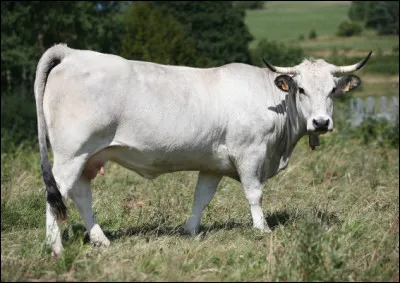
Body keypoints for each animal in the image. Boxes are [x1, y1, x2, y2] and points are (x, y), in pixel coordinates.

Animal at [35, 44, 372, 258]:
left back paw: (100, 239)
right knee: (57, 194)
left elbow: (201, 197)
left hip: (88, 157)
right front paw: (262, 229)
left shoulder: (213, 164)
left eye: (333, 90)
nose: (321, 122)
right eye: (301, 90)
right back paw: (55, 247)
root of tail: (72, 53)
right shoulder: (250, 153)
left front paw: (191, 230)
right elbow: (254, 194)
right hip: (71, 155)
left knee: (81, 195)